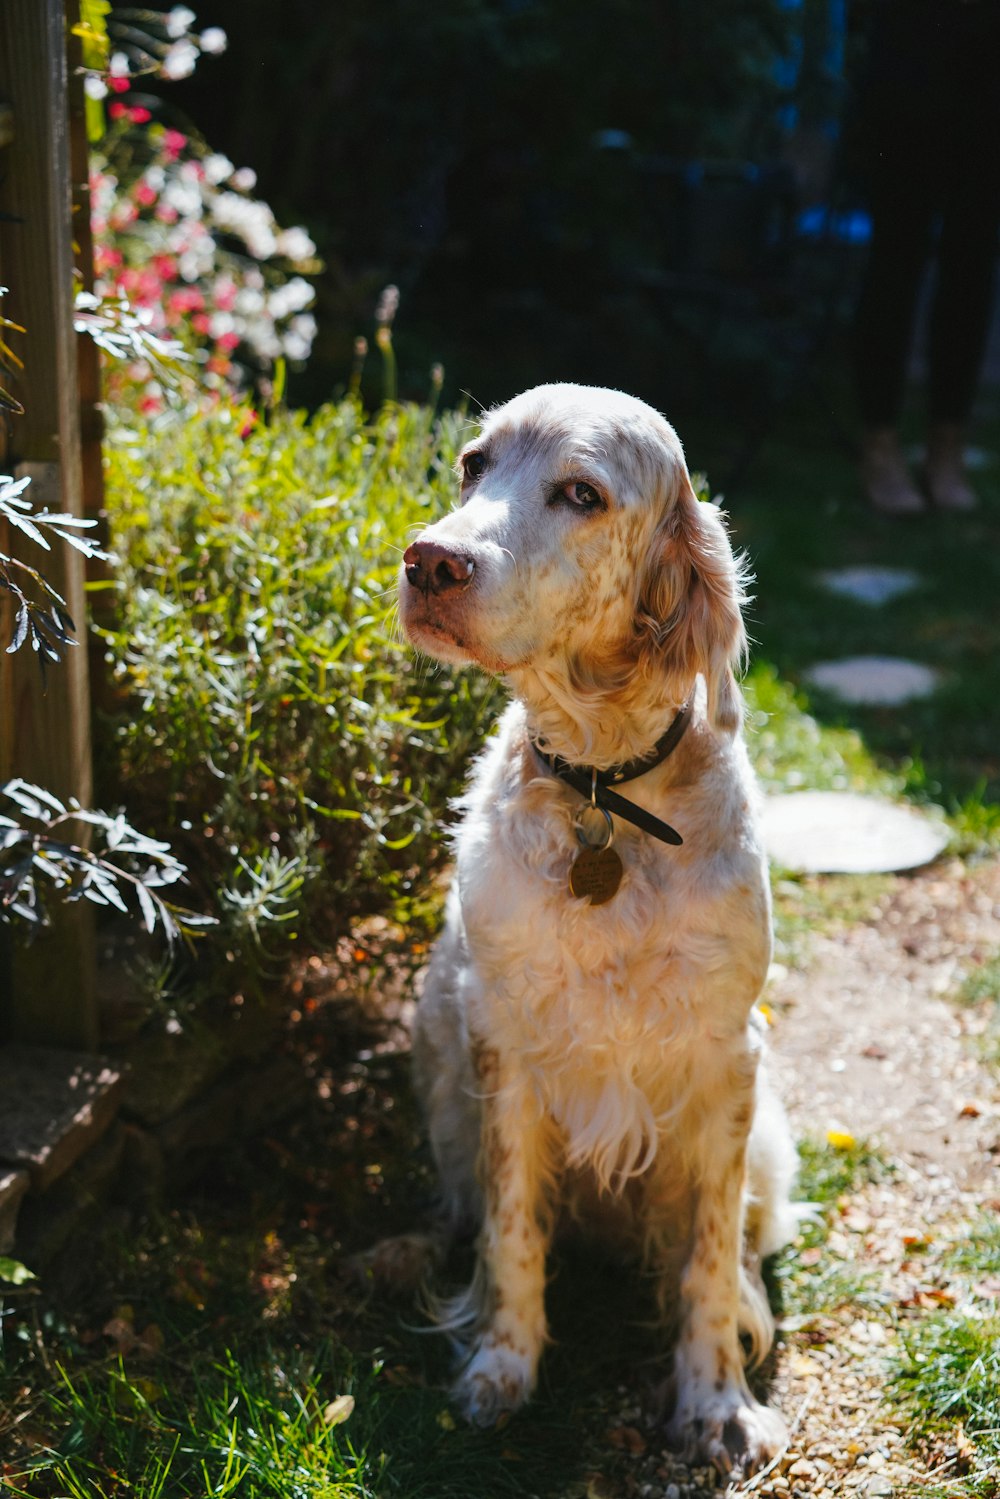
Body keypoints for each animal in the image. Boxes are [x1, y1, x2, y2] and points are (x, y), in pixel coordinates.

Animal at [398, 383, 797, 1475]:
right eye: (473, 465)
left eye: (581, 493)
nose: (429, 561)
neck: (600, 792)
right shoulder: (503, 1044)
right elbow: (512, 1228)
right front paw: (502, 1365)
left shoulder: (726, 1057)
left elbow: (708, 1252)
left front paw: (715, 1401)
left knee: (747, 1243)